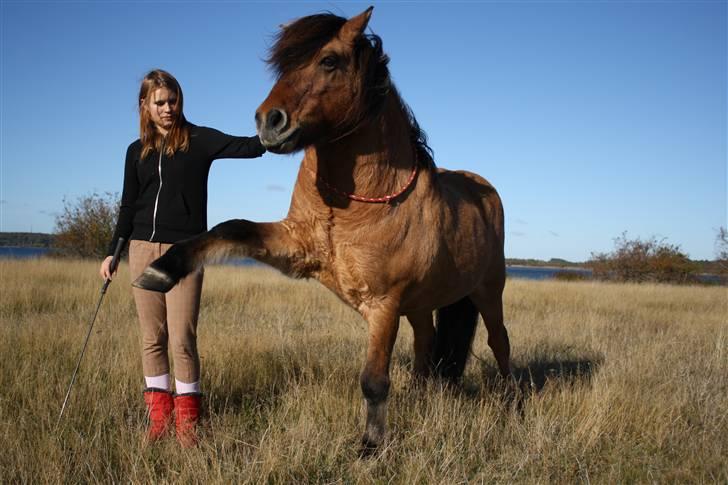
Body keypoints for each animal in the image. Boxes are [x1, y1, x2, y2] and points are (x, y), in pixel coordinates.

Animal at [136, 6, 512, 450]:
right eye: (284, 64)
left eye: (329, 60)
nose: (268, 122)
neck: (356, 208)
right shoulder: (296, 250)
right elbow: (232, 228)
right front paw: (161, 270)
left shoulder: (384, 305)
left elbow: (374, 381)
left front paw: (370, 446)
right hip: (421, 306)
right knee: (426, 345)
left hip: (487, 292)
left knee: (500, 342)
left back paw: (514, 406)